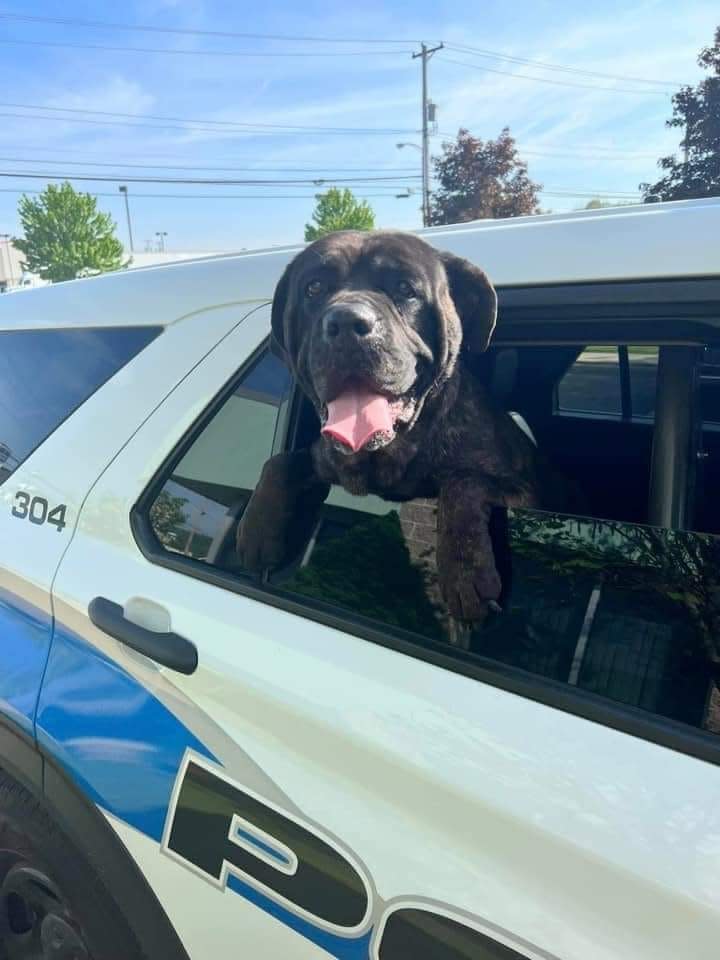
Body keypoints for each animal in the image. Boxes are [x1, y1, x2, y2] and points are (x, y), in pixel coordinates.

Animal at [239, 232, 544, 624]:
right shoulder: (325, 457)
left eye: (405, 289)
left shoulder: (525, 485)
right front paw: (256, 532)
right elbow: (279, 463)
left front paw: (463, 572)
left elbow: (463, 483)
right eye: (314, 287)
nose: (347, 321)